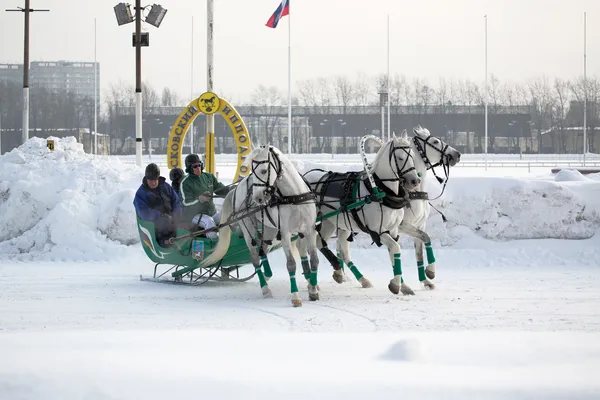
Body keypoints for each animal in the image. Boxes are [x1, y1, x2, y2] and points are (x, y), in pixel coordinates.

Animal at [197, 145, 322, 308]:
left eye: (263, 171)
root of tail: (237, 188)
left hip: (269, 228)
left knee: (263, 249)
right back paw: (265, 288)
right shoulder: (285, 234)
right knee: (255, 257)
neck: (294, 197)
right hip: (248, 227)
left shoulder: (309, 230)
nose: (257, 198)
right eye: (252, 171)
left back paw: (267, 275)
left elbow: (314, 260)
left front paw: (313, 290)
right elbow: (291, 264)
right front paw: (295, 297)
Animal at [300, 134, 422, 294]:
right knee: (307, 247)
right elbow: (396, 248)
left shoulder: (393, 230)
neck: (379, 190)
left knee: (327, 245)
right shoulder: (378, 232)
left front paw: (404, 285)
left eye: (413, 156)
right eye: (400, 158)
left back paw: (348, 275)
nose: (415, 180)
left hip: (332, 222)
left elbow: (393, 254)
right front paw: (396, 285)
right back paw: (312, 282)